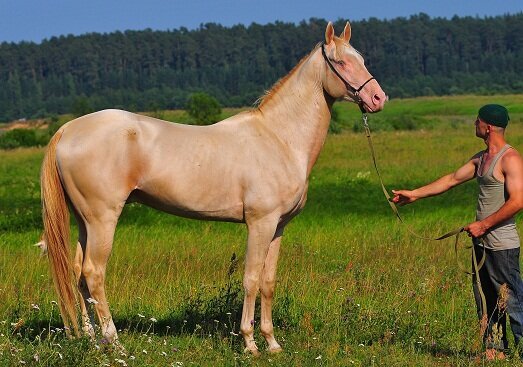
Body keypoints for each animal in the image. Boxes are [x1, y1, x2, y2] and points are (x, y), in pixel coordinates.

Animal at [40, 21, 384, 356]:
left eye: (362, 59)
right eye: (341, 62)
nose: (378, 99)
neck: (279, 138)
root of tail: (68, 129)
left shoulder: (278, 227)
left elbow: (268, 282)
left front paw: (272, 344)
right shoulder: (260, 223)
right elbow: (251, 279)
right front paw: (250, 343)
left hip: (85, 221)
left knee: (78, 272)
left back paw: (89, 339)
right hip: (103, 219)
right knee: (94, 273)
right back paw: (114, 343)